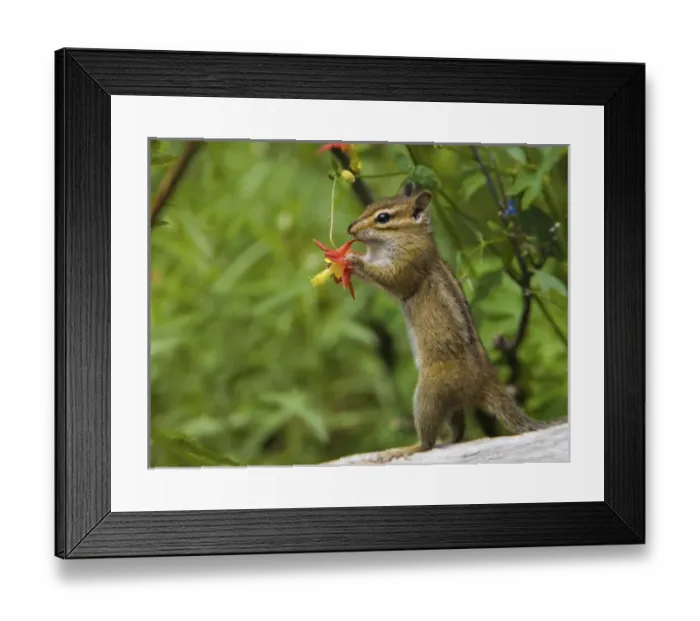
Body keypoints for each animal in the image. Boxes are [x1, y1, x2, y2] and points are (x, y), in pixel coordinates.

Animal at [345, 183, 560, 463]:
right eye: (368, 207)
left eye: (383, 217)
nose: (350, 228)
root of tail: (486, 382)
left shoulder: (409, 263)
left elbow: (392, 280)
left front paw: (354, 260)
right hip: (451, 405)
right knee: (458, 432)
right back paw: (447, 440)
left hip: (428, 393)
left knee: (427, 441)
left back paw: (406, 449)